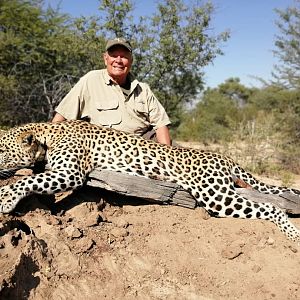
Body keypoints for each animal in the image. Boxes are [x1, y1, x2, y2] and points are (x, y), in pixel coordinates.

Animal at [0, 119, 300, 241]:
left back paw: (293, 234)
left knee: (272, 207)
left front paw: (5, 199)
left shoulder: (69, 173)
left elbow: (24, 182)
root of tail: (224, 157)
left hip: (215, 195)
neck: (47, 135)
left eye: (1, 150)